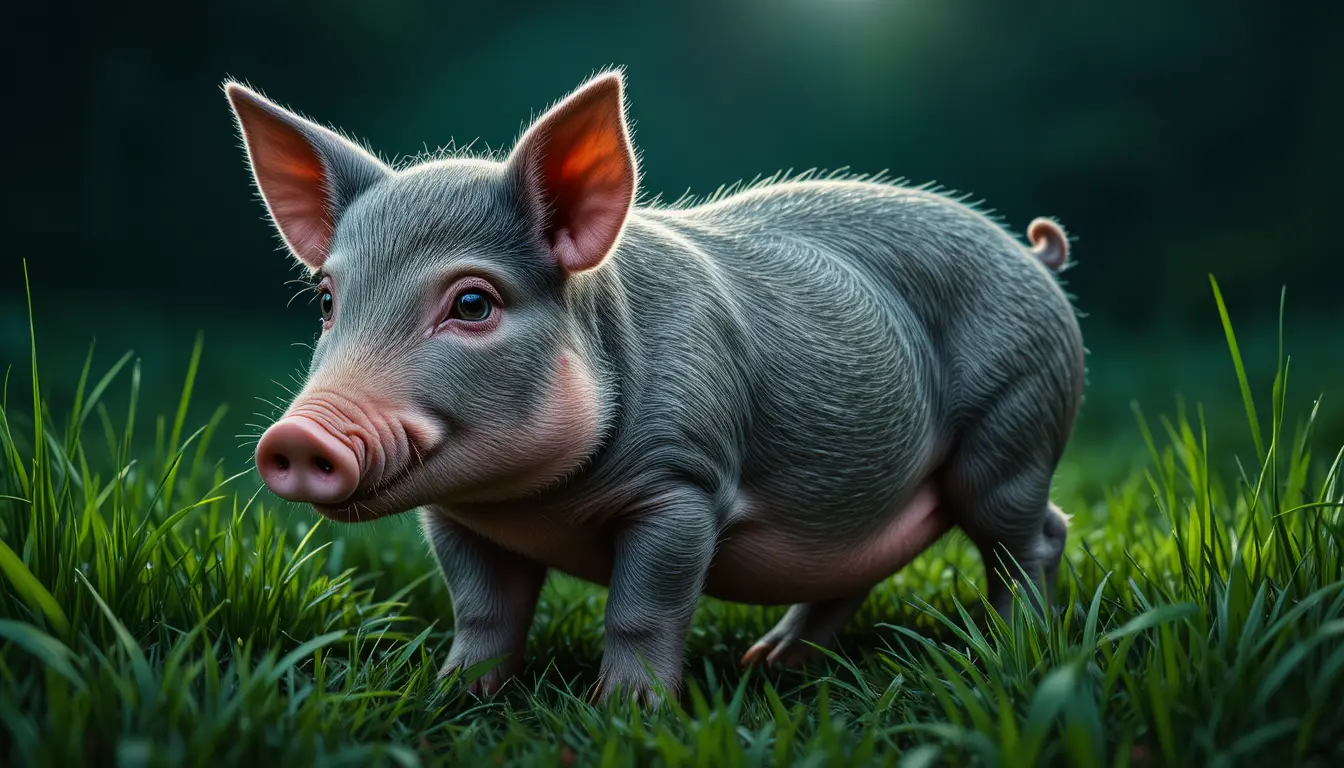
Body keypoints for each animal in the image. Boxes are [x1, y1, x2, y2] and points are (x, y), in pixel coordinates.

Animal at [228, 69, 1084, 705]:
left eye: (473, 304)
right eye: (328, 300)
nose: (296, 437)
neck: (536, 505)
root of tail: (1032, 257)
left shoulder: (684, 483)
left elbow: (644, 609)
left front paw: (626, 714)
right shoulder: (457, 515)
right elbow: (483, 611)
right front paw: (451, 696)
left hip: (1017, 419)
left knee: (1031, 536)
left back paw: (1013, 651)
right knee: (860, 566)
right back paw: (768, 663)